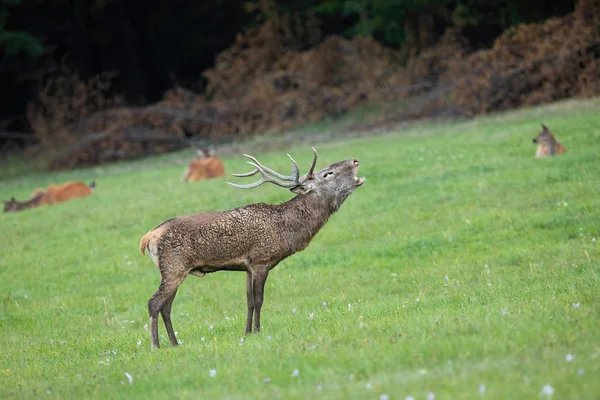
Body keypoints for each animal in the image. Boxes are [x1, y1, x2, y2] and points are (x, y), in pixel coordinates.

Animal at [141, 148, 366, 350]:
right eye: (328, 173)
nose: (355, 160)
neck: (286, 231)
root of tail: (147, 238)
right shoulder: (261, 260)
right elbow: (259, 300)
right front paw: (258, 331)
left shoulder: (247, 267)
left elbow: (248, 301)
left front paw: (246, 333)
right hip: (174, 267)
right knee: (154, 303)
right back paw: (155, 346)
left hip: (174, 270)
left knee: (166, 307)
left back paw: (174, 343)